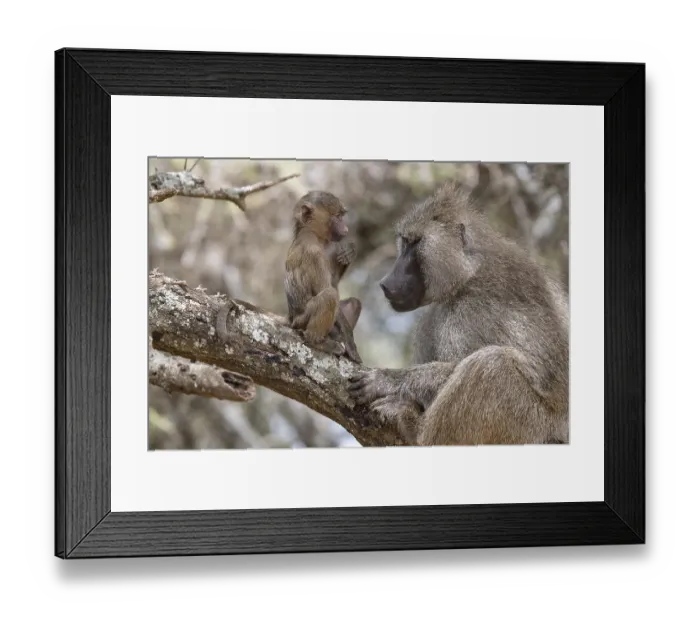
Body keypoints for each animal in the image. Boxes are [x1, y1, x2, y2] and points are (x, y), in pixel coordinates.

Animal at [284, 191, 363, 363]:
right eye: (338, 216)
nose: (346, 229)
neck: (312, 233)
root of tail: (291, 318)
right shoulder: (313, 252)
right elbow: (326, 288)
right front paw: (350, 343)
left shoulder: (332, 247)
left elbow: (334, 282)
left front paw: (350, 251)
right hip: (301, 321)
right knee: (329, 296)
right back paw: (318, 342)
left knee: (354, 303)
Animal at [348, 181, 569, 446]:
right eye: (405, 242)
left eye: (416, 243)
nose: (385, 283)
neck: (467, 275)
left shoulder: (474, 309)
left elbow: (458, 366)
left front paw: (386, 380)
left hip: (532, 427)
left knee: (492, 364)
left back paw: (415, 432)